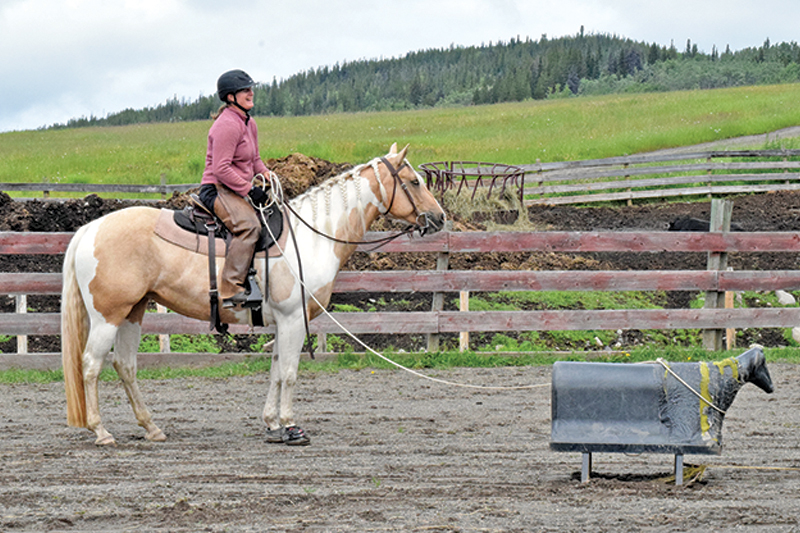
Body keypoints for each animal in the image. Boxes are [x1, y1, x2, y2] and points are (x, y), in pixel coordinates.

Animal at [61, 143, 446, 446]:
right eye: (415, 182)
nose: (440, 218)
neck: (312, 237)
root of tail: (90, 229)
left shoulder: (283, 324)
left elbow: (275, 371)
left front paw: (272, 425)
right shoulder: (293, 320)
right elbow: (289, 372)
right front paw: (291, 427)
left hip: (133, 312)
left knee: (125, 365)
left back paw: (151, 427)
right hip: (107, 316)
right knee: (91, 365)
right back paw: (101, 431)